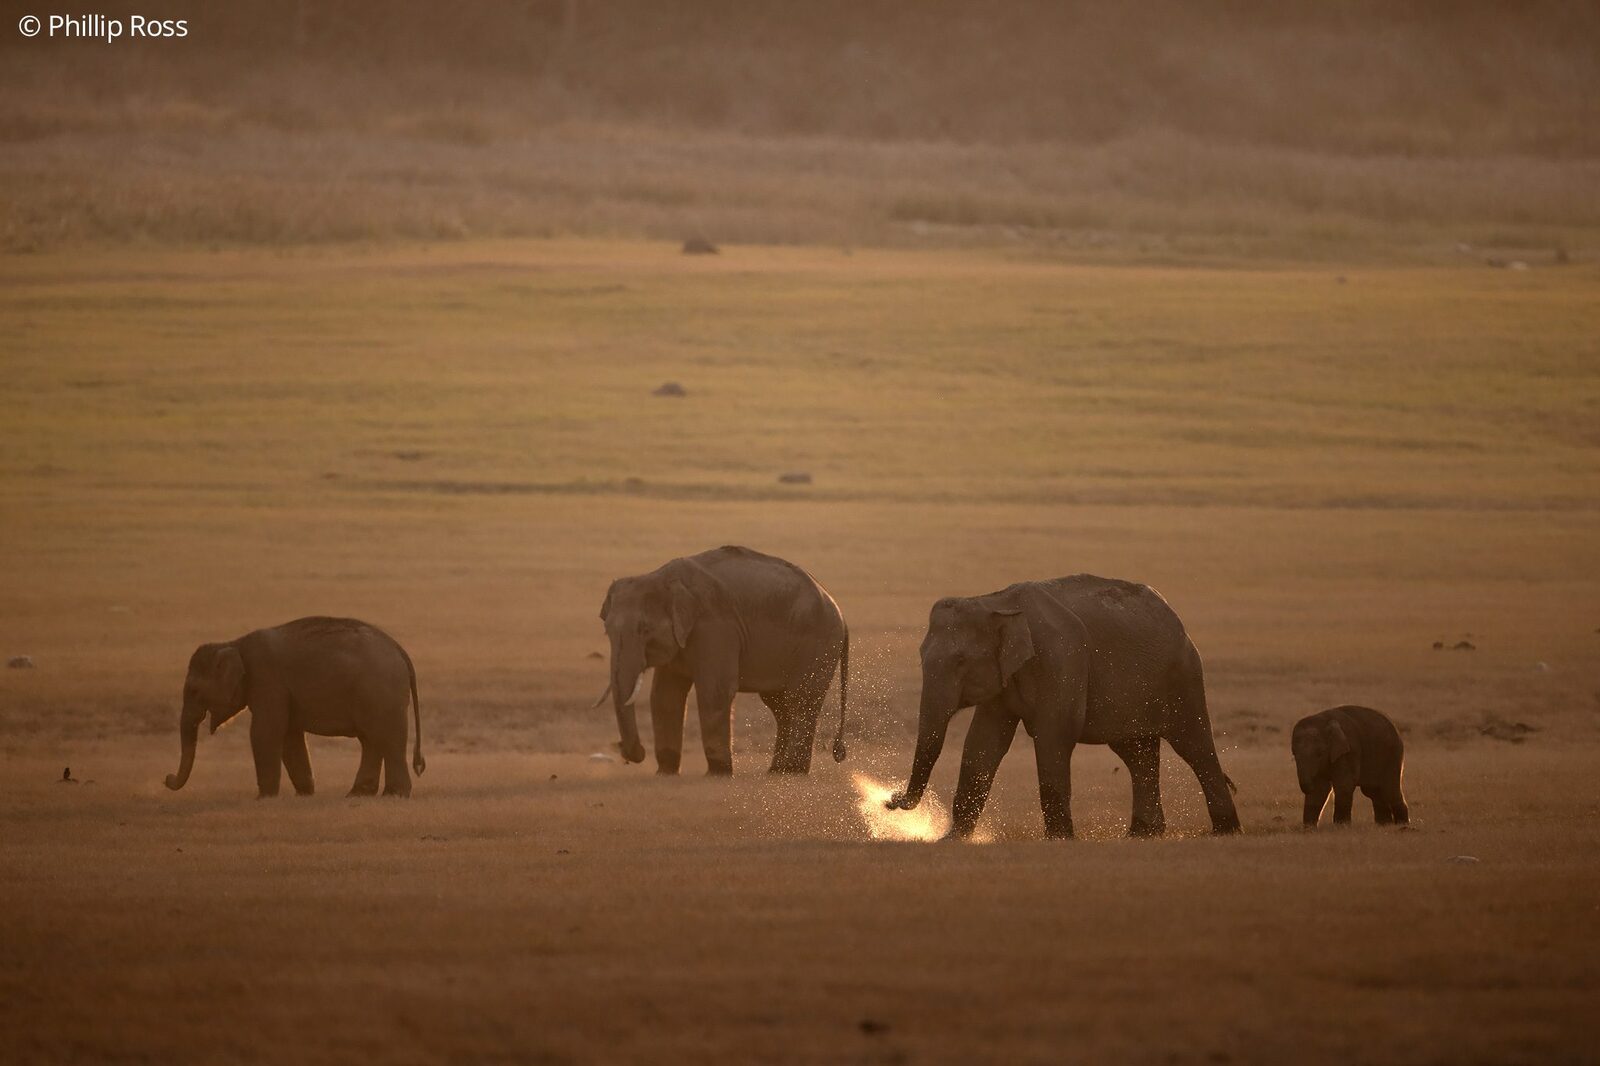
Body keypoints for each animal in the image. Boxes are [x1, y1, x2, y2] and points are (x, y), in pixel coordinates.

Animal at [163, 616, 425, 798]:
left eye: (194, 691)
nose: (167, 778)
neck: (234, 643)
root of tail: (400, 650)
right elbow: (290, 736)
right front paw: (304, 794)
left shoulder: (268, 680)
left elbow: (265, 732)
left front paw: (263, 798)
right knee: (371, 740)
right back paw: (358, 794)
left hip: (382, 694)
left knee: (388, 739)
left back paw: (394, 795)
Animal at [596, 545, 849, 775]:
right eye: (607, 632)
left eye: (645, 630)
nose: (632, 754)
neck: (660, 577)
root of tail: (839, 611)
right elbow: (664, 696)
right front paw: (666, 772)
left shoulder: (715, 626)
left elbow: (714, 691)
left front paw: (718, 772)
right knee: (779, 704)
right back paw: (777, 771)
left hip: (819, 645)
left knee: (800, 701)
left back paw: (791, 770)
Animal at [887, 575, 1241, 841]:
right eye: (920, 656)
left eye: (961, 661)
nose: (891, 800)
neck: (995, 601)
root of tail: (1172, 613)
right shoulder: (1005, 673)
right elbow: (984, 742)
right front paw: (952, 840)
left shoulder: (1061, 658)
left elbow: (1053, 737)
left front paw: (1059, 839)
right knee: (1136, 754)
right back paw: (1143, 834)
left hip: (1183, 673)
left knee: (1194, 745)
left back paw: (1225, 831)